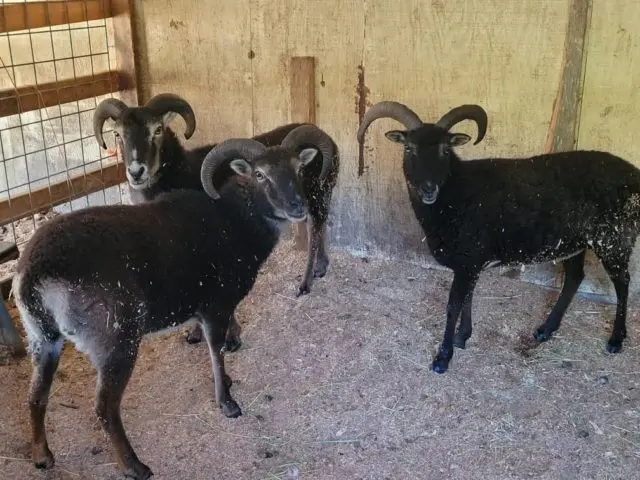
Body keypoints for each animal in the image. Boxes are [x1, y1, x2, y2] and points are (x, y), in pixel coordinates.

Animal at [12, 125, 336, 480]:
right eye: (260, 174)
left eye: (299, 168)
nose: (297, 206)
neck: (234, 220)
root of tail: (34, 274)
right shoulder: (215, 307)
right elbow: (216, 354)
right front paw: (227, 402)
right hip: (114, 340)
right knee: (104, 407)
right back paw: (135, 466)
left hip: (43, 338)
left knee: (35, 397)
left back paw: (42, 455)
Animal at [93, 96, 338, 346]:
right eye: (117, 134)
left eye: (158, 130)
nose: (136, 171)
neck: (183, 174)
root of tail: (328, 138)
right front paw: (195, 334)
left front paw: (231, 338)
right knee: (319, 227)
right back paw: (321, 266)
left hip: (317, 194)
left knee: (315, 228)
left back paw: (305, 284)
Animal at [357, 100, 640, 374]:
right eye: (409, 149)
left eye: (445, 150)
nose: (428, 188)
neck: (458, 192)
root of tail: (634, 174)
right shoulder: (470, 262)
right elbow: (468, 298)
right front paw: (463, 337)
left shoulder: (468, 259)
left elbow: (453, 306)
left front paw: (442, 358)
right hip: (575, 242)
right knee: (574, 278)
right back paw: (545, 329)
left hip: (615, 238)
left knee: (622, 282)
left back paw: (616, 340)